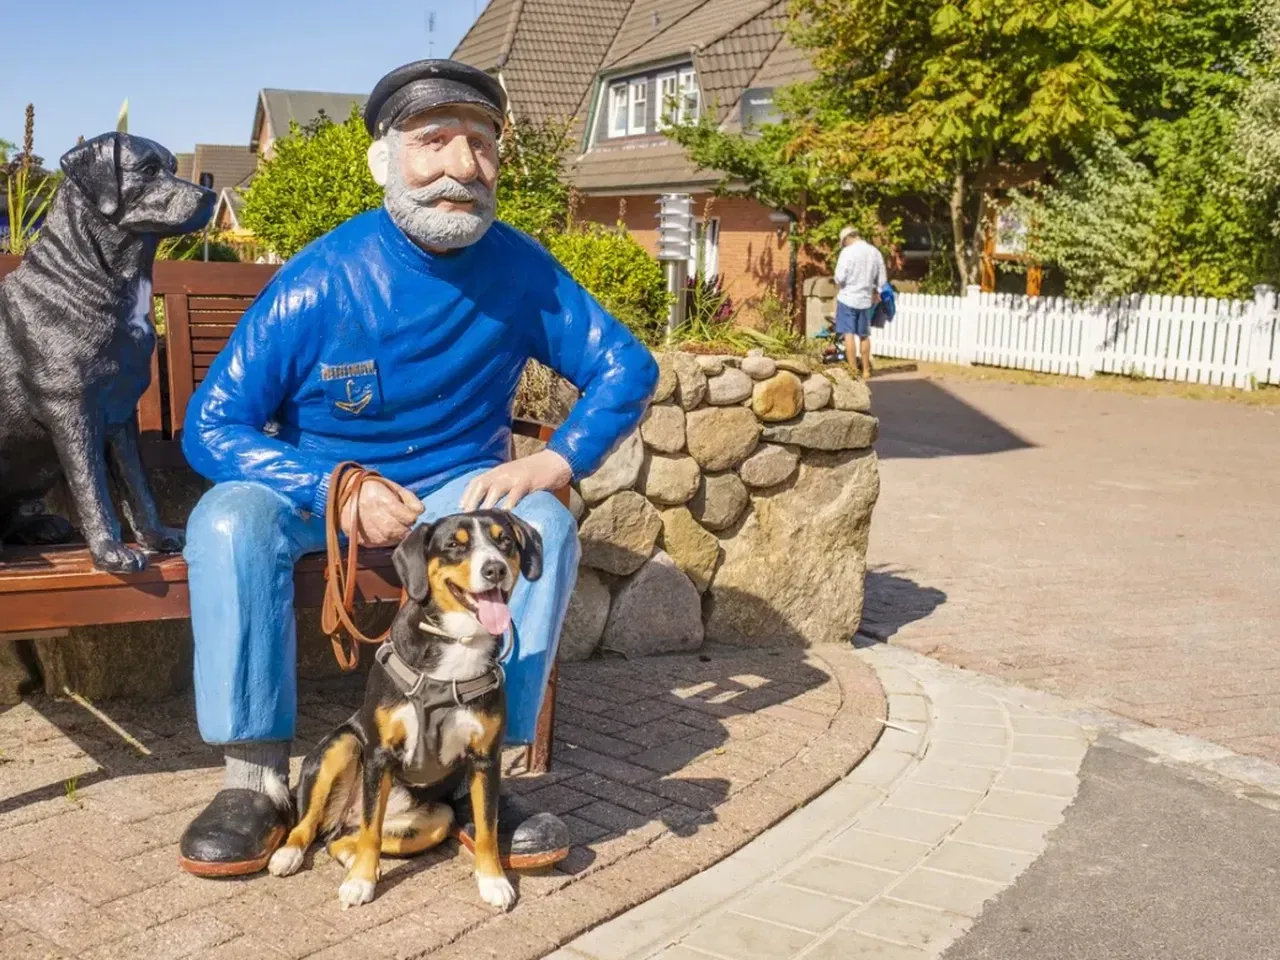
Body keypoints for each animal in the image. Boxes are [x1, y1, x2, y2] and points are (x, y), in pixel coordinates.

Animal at [270, 512, 545, 911]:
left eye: (504, 541)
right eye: (455, 544)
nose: (494, 569)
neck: (459, 644)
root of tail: (345, 815)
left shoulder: (485, 759)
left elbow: (487, 828)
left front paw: (493, 880)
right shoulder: (380, 754)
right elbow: (371, 831)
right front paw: (361, 883)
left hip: (437, 819)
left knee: (344, 839)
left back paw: (357, 859)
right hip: (344, 746)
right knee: (317, 825)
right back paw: (293, 854)